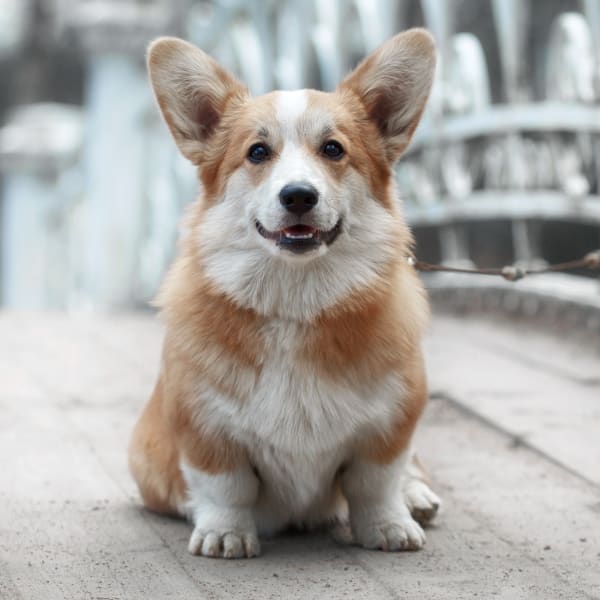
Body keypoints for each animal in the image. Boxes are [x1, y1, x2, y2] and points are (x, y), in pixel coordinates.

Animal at [129, 28, 440, 556]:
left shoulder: (391, 425)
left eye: (333, 149)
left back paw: (417, 496)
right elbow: (227, 487)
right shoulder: (204, 428)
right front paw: (225, 533)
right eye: (257, 152)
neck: (294, 302)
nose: (298, 195)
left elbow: (376, 483)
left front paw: (388, 525)